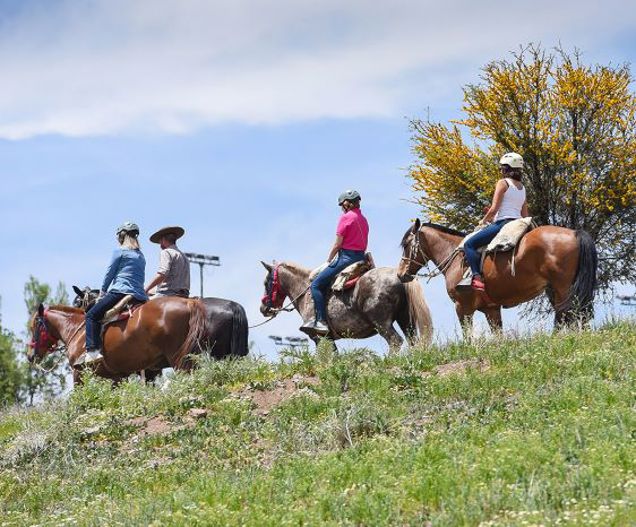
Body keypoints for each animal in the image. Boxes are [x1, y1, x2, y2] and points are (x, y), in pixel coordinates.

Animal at [28, 296, 206, 384]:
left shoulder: (79, 373)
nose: (30, 356)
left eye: (34, 325)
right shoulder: (118, 376)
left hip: (178, 359)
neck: (76, 329)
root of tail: (189, 302)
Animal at [258, 260, 432, 350]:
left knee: (395, 341)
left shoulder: (318, 337)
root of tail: (398, 276)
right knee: (413, 341)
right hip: (405, 319)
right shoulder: (328, 339)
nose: (263, 309)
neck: (305, 289)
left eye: (266, 282)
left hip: (382, 323)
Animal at [398, 220, 596, 336]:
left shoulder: (462, 308)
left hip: (563, 288)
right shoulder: (491, 309)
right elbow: (497, 335)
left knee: (567, 313)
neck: (454, 257)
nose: (401, 274)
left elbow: (468, 336)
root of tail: (574, 233)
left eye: (406, 244)